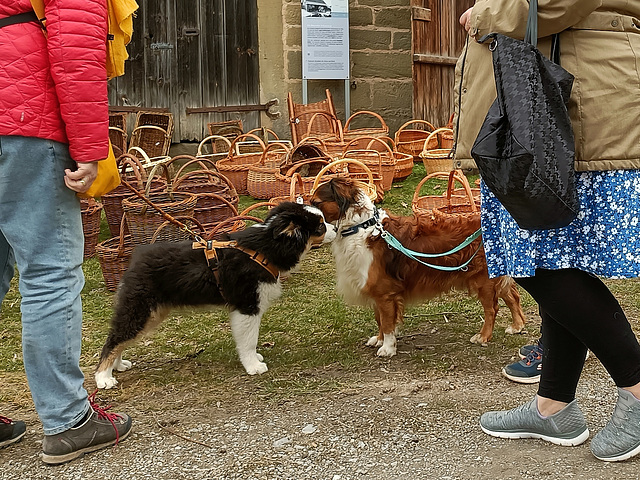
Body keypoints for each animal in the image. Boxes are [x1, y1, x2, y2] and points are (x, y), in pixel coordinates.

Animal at [96, 202, 336, 390]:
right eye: (321, 226)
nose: (335, 227)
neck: (266, 247)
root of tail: (135, 260)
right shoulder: (247, 306)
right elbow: (249, 340)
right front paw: (253, 366)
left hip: (150, 313)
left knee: (120, 338)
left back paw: (118, 366)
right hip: (140, 309)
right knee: (114, 339)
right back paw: (103, 378)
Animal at [310, 178, 524, 354]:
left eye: (315, 202)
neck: (362, 227)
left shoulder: (385, 293)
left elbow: (386, 322)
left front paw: (388, 347)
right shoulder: (377, 292)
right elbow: (379, 318)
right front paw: (379, 339)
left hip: (483, 281)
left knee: (492, 309)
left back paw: (483, 336)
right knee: (512, 296)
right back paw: (517, 326)